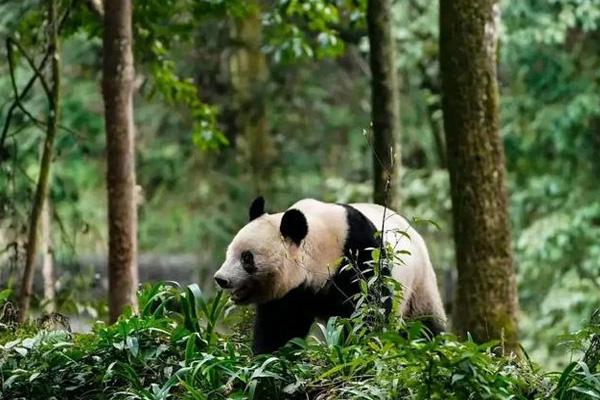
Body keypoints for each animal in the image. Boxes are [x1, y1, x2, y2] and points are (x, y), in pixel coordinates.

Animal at [214, 197, 446, 354]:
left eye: (247, 258)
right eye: (229, 252)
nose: (221, 279)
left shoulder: (360, 254)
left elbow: (370, 309)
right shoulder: (293, 291)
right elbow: (280, 324)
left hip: (418, 285)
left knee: (426, 326)